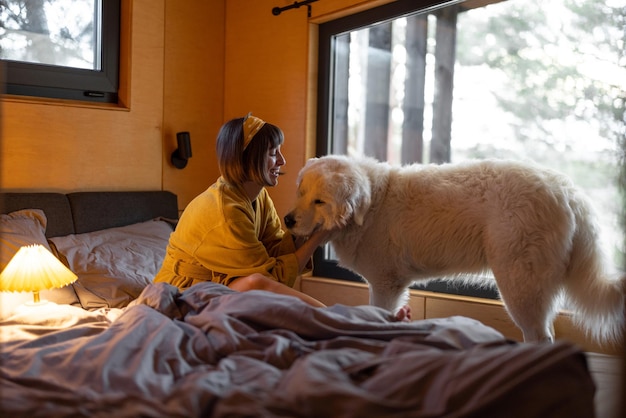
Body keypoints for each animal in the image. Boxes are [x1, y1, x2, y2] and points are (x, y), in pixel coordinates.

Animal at [286, 154, 620, 342]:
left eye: (320, 201)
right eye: (300, 192)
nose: (288, 220)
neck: (372, 205)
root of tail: (569, 191)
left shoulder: (385, 285)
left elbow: (378, 314)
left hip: (520, 288)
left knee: (540, 336)